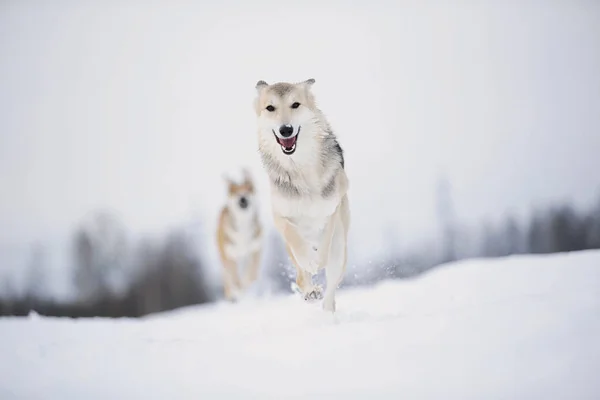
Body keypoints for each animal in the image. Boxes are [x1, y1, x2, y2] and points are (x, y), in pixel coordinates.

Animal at [216, 167, 262, 302]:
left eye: (249, 189)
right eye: (235, 191)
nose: (242, 197)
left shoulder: (255, 249)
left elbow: (252, 274)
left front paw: (245, 285)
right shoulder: (229, 254)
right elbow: (234, 276)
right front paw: (237, 289)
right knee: (227, 277)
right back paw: (232, 295)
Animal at [253, 76, 352, 310]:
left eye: (295, 104)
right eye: (270, 108)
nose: (286, 130)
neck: (301, 168)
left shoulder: (331, 210)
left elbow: (324, 247)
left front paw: (317, 261)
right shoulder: (280, 216)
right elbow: (295, 239)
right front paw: (309, 262)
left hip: (341, 251)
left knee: (331, 288)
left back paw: (326, 310)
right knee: (300, 276)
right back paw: (311, 291)